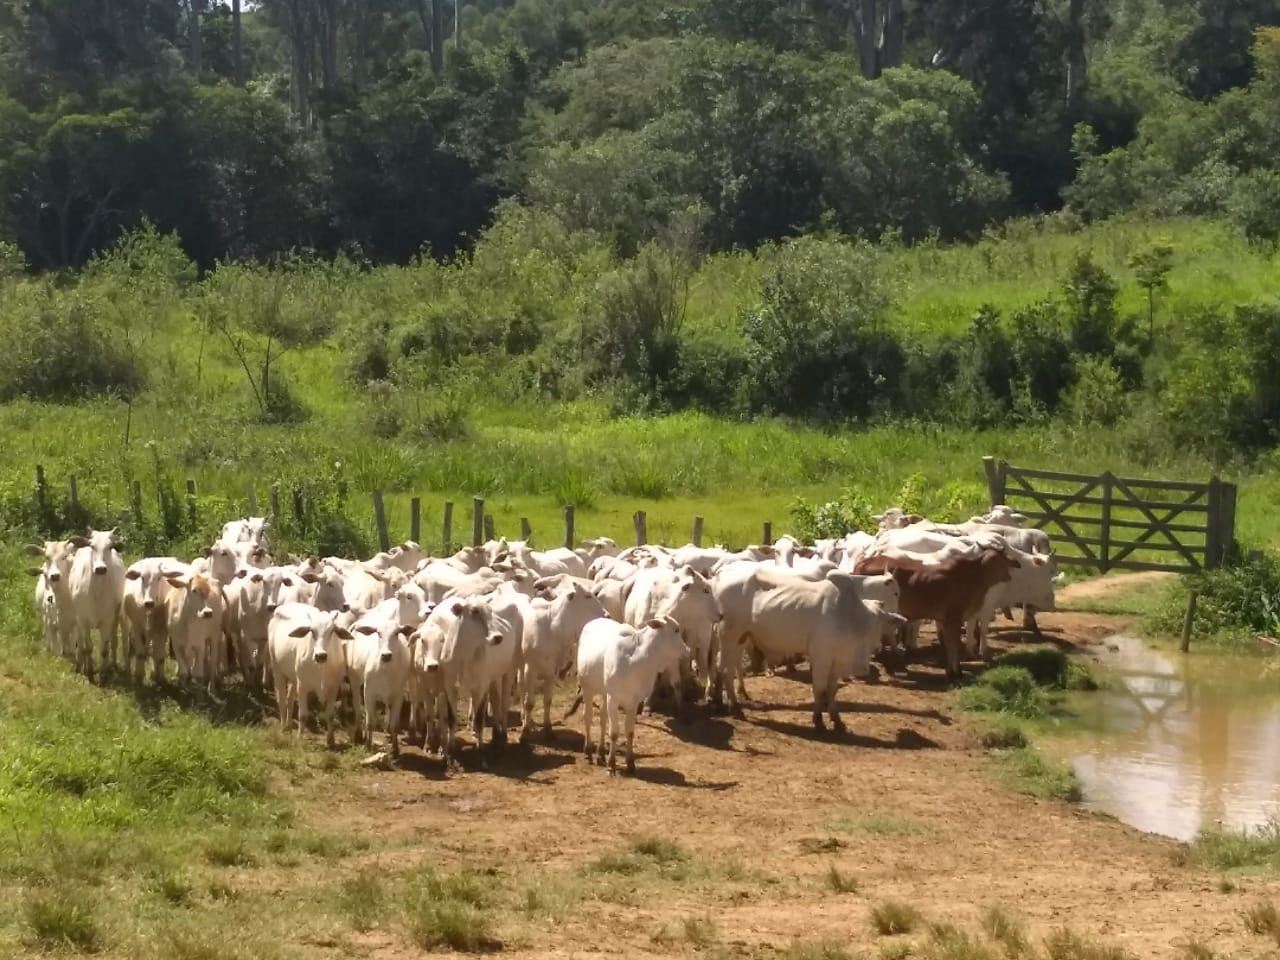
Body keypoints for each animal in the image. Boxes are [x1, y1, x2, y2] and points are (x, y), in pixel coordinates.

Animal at [573, 619, 691, 778]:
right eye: (676, 630)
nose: (688, 650)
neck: (638, 661)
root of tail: (593, 621)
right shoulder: (614, 698)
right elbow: (614, 733)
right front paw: (611, 765)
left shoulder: (633, 702)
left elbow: (629, 732)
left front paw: (630, 763)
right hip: (588, 688)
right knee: (588, 717)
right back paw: (589, 751)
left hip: (604, 693)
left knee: (603, 719)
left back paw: (600, 753)